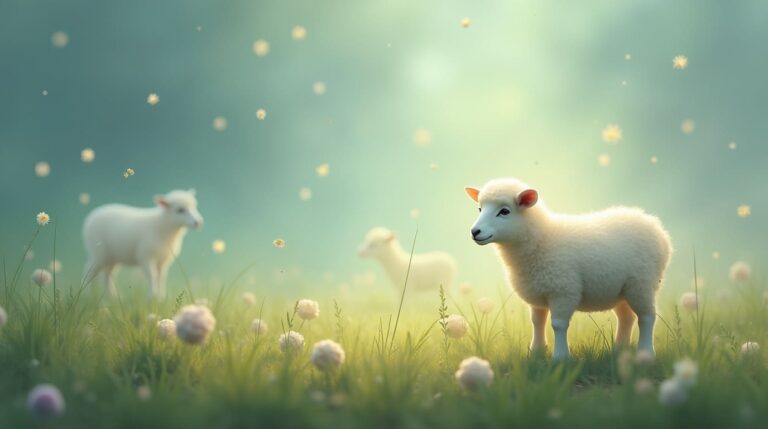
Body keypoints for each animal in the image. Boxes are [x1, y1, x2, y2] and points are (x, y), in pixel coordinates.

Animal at [464, 178, 672, 360]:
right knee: (626, 317)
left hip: (642, 283)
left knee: (647, 317)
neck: (541, 239)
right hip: (621, 289)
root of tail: (656, 227)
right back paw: (619, 349)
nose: (475, 232)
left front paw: (560, 357)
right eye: (480, 208)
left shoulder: (563, 290)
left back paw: (646, 352)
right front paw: (536, 353)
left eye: (504, 211)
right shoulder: (537, 292)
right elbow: (537, 322)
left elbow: (558, 325)